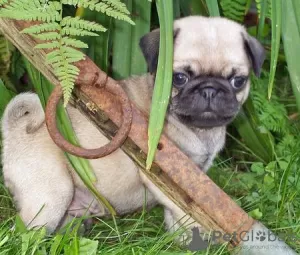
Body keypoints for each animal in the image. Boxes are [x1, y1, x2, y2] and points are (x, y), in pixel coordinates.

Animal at [1, 15, 264, 235]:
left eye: (238, 81)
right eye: (180, 78)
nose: (209, 89)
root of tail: (14, 129)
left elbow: (177, 215)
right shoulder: (164, 179)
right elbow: (186, 214)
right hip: (52, 196)